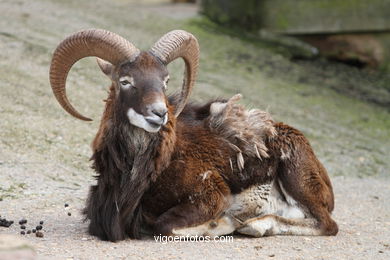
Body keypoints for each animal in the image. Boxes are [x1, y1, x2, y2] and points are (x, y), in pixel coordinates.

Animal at [48, 29, 336, 242]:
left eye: (164, 81)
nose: (159, 113)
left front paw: (225, 223)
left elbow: (164, 226)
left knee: (327, 224)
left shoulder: (211, 194)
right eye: (125, 81)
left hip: (297, 178)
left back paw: (254, 225)